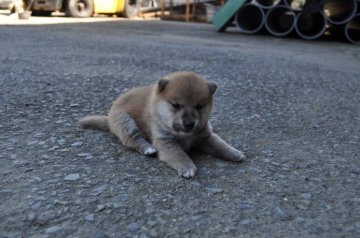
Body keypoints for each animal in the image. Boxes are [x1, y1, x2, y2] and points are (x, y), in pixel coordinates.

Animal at [80, 71, 246, 178]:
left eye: (199, 107)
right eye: (176, 105)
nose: (189, 123)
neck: (185, 135)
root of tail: (108, 117)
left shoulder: (205, 136)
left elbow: (220, 145)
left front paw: (234, 153)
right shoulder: (164, 141)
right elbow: (178, 153)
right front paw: (186, 166)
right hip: (125, 122)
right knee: (133, 139)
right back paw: (148, 148)